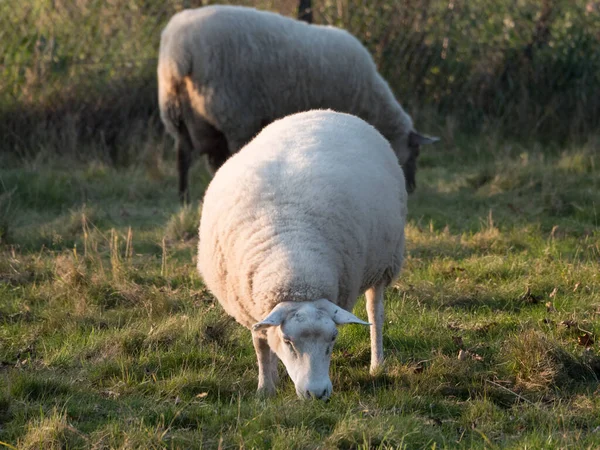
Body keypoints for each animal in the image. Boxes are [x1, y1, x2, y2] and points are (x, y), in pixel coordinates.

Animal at [157, 4, 438, 202]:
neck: (371, 100)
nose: (412, 188)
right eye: (415, 153)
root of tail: (179, 49)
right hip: (231, 109)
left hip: (178, 114)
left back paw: (183, 198)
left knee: (183, 156)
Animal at [197, 110, 408, 400]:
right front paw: (266, 388)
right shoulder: (252, 309)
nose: (317, 393)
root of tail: (327, 111)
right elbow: (262, 346)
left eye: (333, 338)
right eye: (288, 341)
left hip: (384, 262)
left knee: (375, 314)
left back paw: (377, 365)